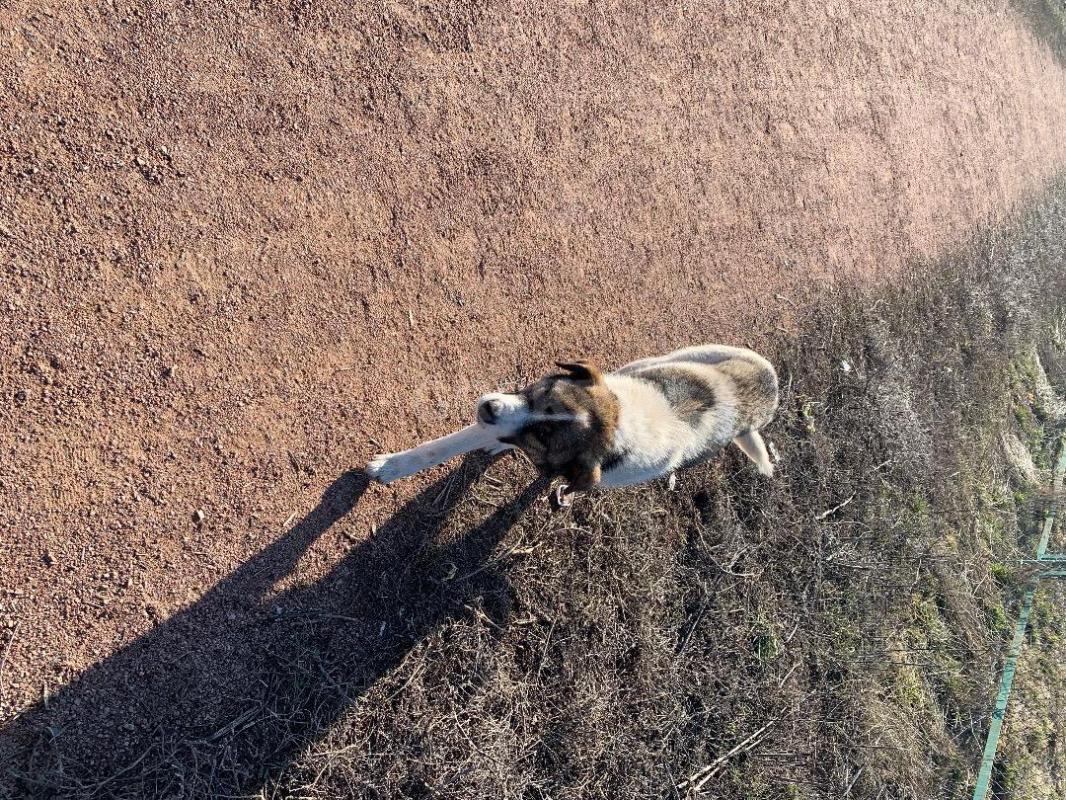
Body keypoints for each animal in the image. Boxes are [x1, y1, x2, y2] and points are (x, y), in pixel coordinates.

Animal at [366, 345, 776, 507]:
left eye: (542, 437)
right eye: (543, 390)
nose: (488, 408)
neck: (619, 426)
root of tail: (770, 386)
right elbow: (438, 448)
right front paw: (391, 466)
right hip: (667, 359)